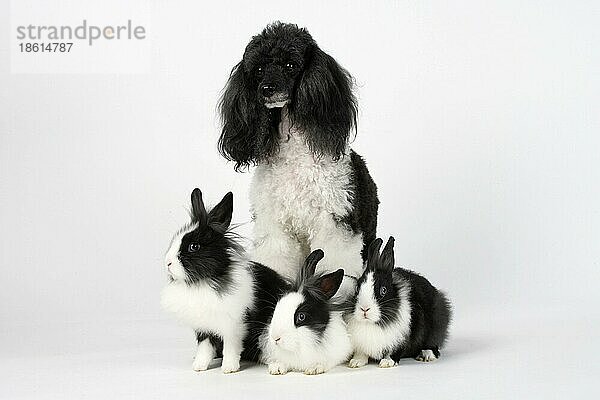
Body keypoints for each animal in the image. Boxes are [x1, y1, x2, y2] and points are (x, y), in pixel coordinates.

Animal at [161, 189, 290, 374]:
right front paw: (199, 366)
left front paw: (229, 368)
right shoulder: (204, 327)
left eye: (194, 246)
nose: (168, 263)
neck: (205, 282)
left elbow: (231, 346)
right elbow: (205, 348)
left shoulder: (234, 325)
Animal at [344, 236, 452, 368]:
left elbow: (394, 351)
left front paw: (387, 362)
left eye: (383, 290)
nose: (364, 309)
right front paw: (356, 362)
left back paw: (426, 355)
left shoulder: (401, 337)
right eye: (357, 288)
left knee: (433, 344)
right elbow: (361, 352)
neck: (373, 323)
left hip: (436, 326)